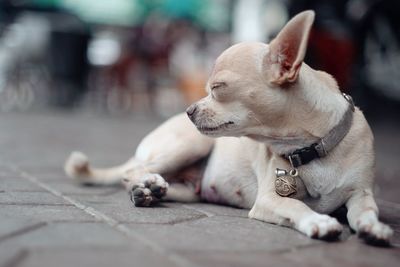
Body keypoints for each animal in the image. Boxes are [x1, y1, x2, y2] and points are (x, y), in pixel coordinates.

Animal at [64, 10, 392, 246]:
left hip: (192, 188)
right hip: (193, 144)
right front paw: (320, 222)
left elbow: (366, 210)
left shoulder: (360, 194)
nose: (189, 110)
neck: (313, 146)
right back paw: (146, 184)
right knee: (132, 171)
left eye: (218, 88)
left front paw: (374, 227)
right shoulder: (269, 199)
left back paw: (150, 191)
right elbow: (298, 208)